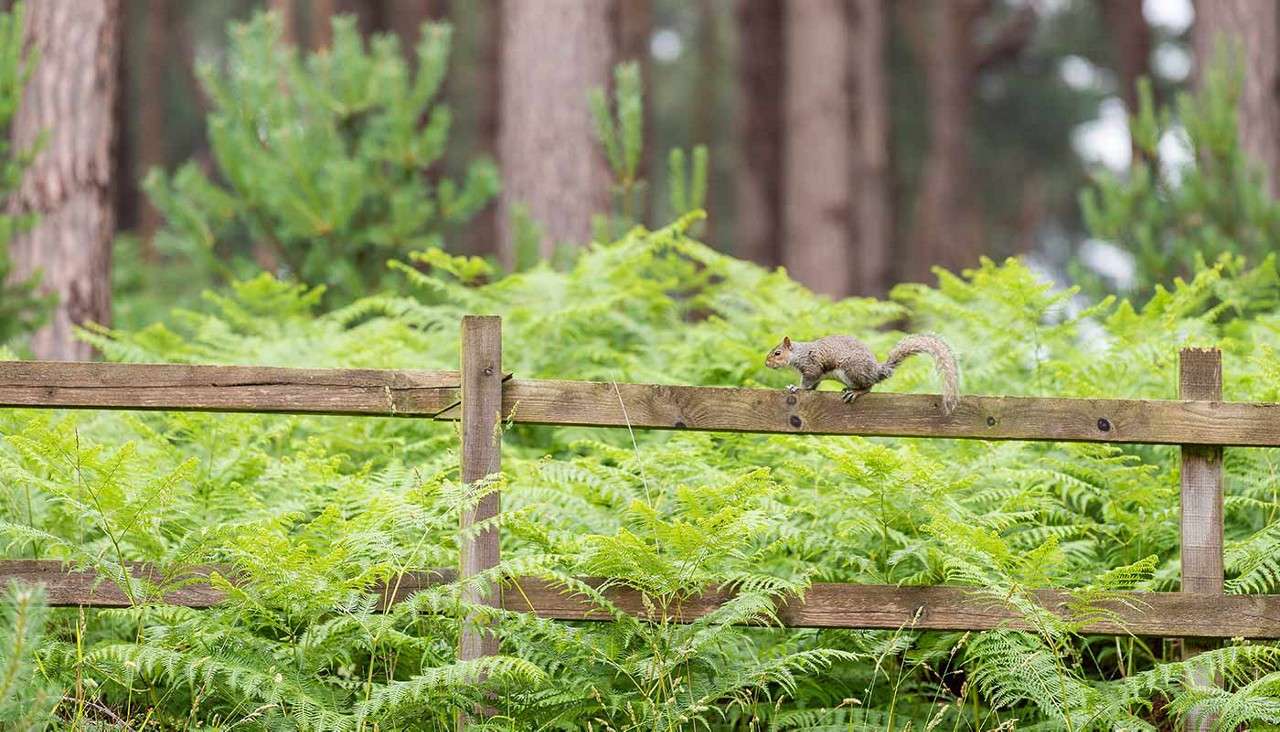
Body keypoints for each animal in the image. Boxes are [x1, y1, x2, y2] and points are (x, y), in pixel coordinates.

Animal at [764, 334, 960, 414]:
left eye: (777, 353)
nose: (766, 364)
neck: (798, 353)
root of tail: (876, 371)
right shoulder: (817, 375)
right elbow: (814, 385)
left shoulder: (812, 366)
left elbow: (807, 383)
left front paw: (796, 387)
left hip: (852, 370)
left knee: (868, 387)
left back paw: (856, 391)